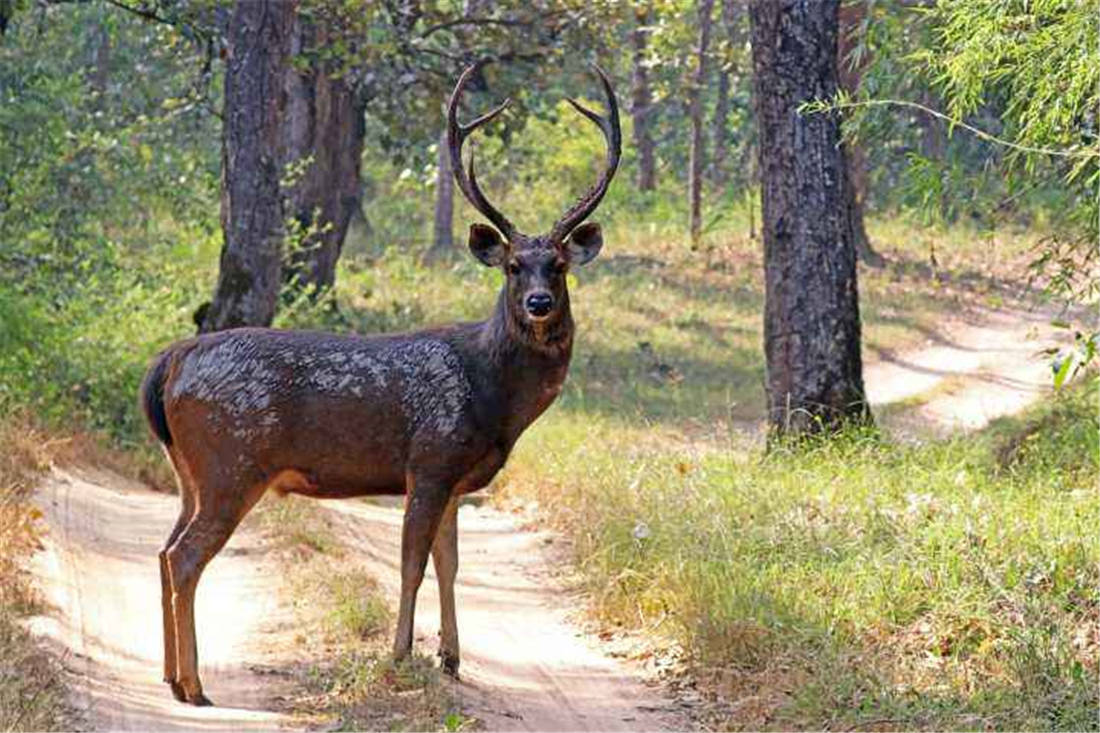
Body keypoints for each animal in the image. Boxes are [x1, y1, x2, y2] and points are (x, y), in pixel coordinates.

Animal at [138, 62, 620, 704]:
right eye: (514, 266)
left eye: (559, 266)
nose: (539, 303)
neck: (493, 397)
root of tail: (171, 360)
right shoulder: (431, 459)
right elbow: (412, 563)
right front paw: (400, 655)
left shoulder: (457, 480)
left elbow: (450, 564)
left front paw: (451, 658)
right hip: (230, 462)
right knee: (186, 557)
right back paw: (193, 684)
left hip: (188, 470)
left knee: (164, 549)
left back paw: (170, 675)